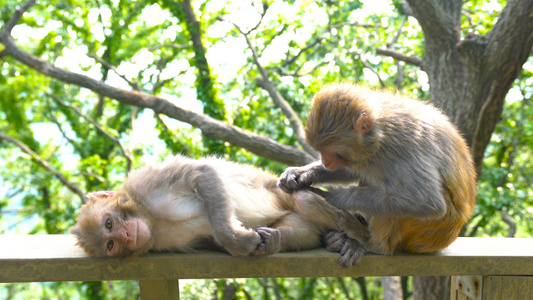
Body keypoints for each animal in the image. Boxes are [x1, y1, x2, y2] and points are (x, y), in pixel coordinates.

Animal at [70, 155, 366, 258]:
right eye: (110, 245)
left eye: (109, 223)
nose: (126, 236)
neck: (150, 217)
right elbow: (209, 240)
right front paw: (259, 245)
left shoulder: (147, 183)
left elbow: (202, 173)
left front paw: (236, 240)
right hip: (301, 227)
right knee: (297, 232)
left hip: (285, 194)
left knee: (303, 199)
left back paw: (356, 242)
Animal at [276, 82, 476, 268]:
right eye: (322, 152)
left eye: (333, 152)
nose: (325, 162)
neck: (380, 137)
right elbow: (348, 171)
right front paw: (299, 174)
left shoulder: (406, 146)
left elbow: (428, 202)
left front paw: (332, 198)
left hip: (432, 231)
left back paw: (370, 242)